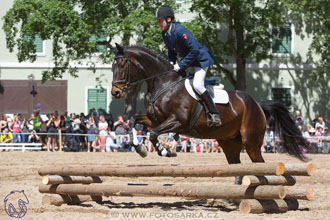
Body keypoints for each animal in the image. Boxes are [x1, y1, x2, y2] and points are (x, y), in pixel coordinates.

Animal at [110, 43, 310, 182]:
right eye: (112, 67)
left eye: (123, 65)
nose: (116, 93)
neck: (163, 84)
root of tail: (258, 105)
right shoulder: (154, 119)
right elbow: (133, 121)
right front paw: (140, 148)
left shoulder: (177, 121)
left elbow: (152, 135)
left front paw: (166, 152)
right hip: (229, 143)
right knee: (237, 166)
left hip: (251, 142)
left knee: (259, 165)